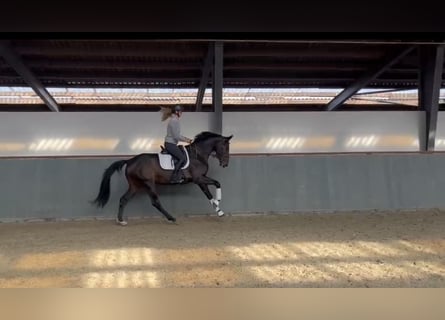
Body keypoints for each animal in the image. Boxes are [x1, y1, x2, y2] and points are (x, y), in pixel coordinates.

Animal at [90, 130, 232, 225]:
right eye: (225, 147)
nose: (225, 164)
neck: (198, 155)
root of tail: (130, 161)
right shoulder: (198, 178)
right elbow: (217, 183)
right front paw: (218, 201)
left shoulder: (200, 179)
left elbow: (208, 194)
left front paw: (219, 210)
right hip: (149, 183)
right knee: (155, 202)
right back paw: (171, 218)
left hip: (135, 185)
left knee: (124, 199)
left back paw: (120, 220)